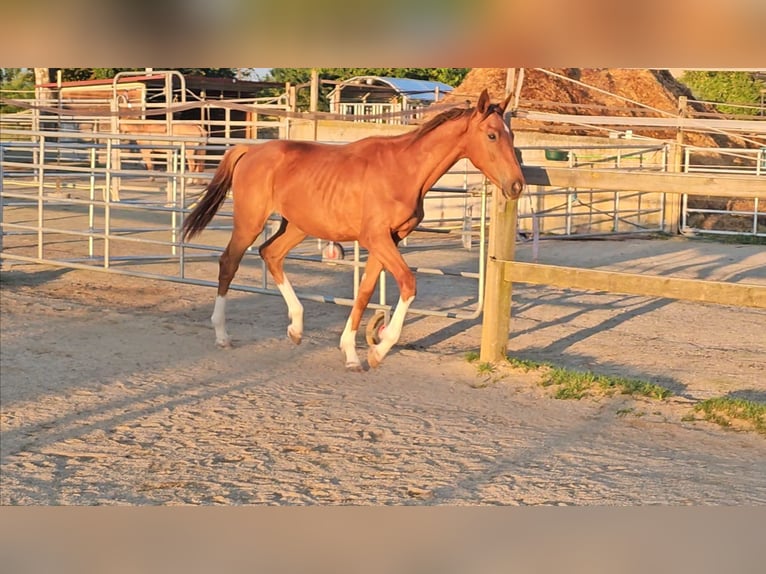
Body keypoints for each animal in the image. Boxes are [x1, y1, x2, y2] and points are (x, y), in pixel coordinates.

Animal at [182, 89, 525, 371]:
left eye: (512, 136)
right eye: (492, 135)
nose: (517, 186)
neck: (403, 170)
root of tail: (249, 151)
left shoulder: (388, 240)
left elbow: (365, 291)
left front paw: (352, 353)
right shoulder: (376, 238)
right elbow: (408, 283)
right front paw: (379, 351)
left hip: (297, 226)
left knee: (271, 254)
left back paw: (296, 328)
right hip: (250, 221)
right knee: (229, 262)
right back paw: (222, 335)